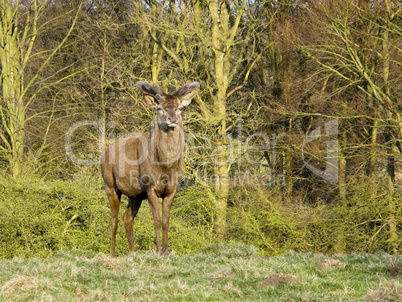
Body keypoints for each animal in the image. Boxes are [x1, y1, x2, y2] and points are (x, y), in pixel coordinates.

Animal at [100, 81, 199, 256]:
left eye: (180, 108)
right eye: (159, 108)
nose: (172, 118)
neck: (166, 167)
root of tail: (102, 155)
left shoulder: (172, 189)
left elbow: (166, 220)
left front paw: (166, 251)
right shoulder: (150, 186)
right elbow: (157, 220)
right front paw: (158, 250)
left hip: (135, 195)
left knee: (127, 218)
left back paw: (132, 253)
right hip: (110, 185)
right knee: (114, 220)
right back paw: (112, 254)